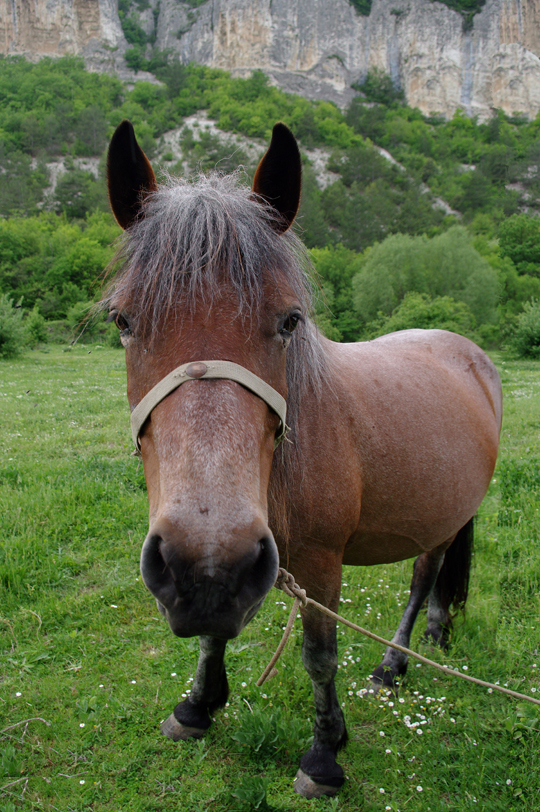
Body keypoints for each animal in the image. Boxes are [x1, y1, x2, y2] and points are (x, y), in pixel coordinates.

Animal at [102, 120, 502, 800]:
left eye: (290, 320)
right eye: (123, 320)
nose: (202, 560)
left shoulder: (318, 561)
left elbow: (319, 654)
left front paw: (324, 753)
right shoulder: (229, 562)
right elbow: (214, 629)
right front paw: (199, 706)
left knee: (424, 576)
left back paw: (396, 661)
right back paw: (434, 634)